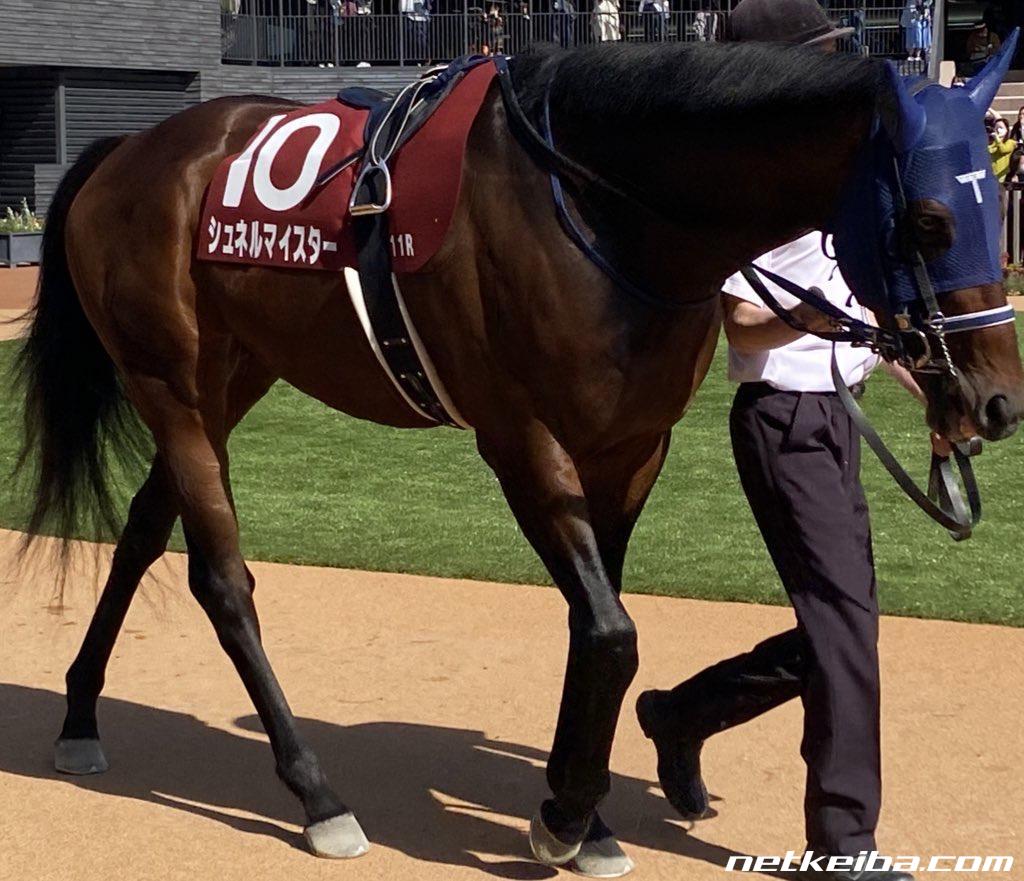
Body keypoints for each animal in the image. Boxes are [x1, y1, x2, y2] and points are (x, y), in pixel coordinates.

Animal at [14, 38, 1024, 876]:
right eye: (930, 221)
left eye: (993, 209)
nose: (996, 400)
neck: (603, 210)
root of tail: (129, 150)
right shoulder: (522, 437)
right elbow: (612, 633)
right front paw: (566, 816)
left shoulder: (630, 448)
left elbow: (597, 627)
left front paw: (591, 816)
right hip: (170, 385)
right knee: (221, 579)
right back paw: (317, 795)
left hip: (232, 376)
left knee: (144, 530)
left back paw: (78, 713)